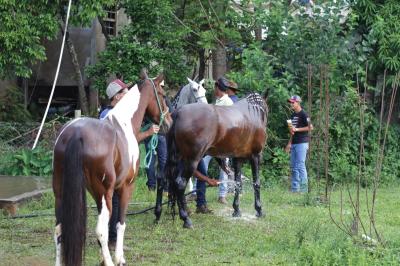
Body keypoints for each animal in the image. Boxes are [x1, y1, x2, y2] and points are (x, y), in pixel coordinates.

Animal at [52, 75, 171, 266]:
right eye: (162, 94)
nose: (169, 122)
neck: (123, 123)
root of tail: (76, 134)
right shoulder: (125, 187)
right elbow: (119, 223)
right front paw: (119, 258)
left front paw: (102, 256)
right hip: (103, 192)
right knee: (100, 229)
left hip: (61, 193)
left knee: (59, 229)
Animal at [161, 92, 268, 228]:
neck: (251, 113)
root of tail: (178, 112)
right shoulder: (255, 156)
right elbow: (256, 183)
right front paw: (259, 210)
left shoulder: (237, 159)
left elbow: (238, 182)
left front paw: (236, 210)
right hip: (191, 160)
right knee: (180, 183)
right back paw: (186, 219)